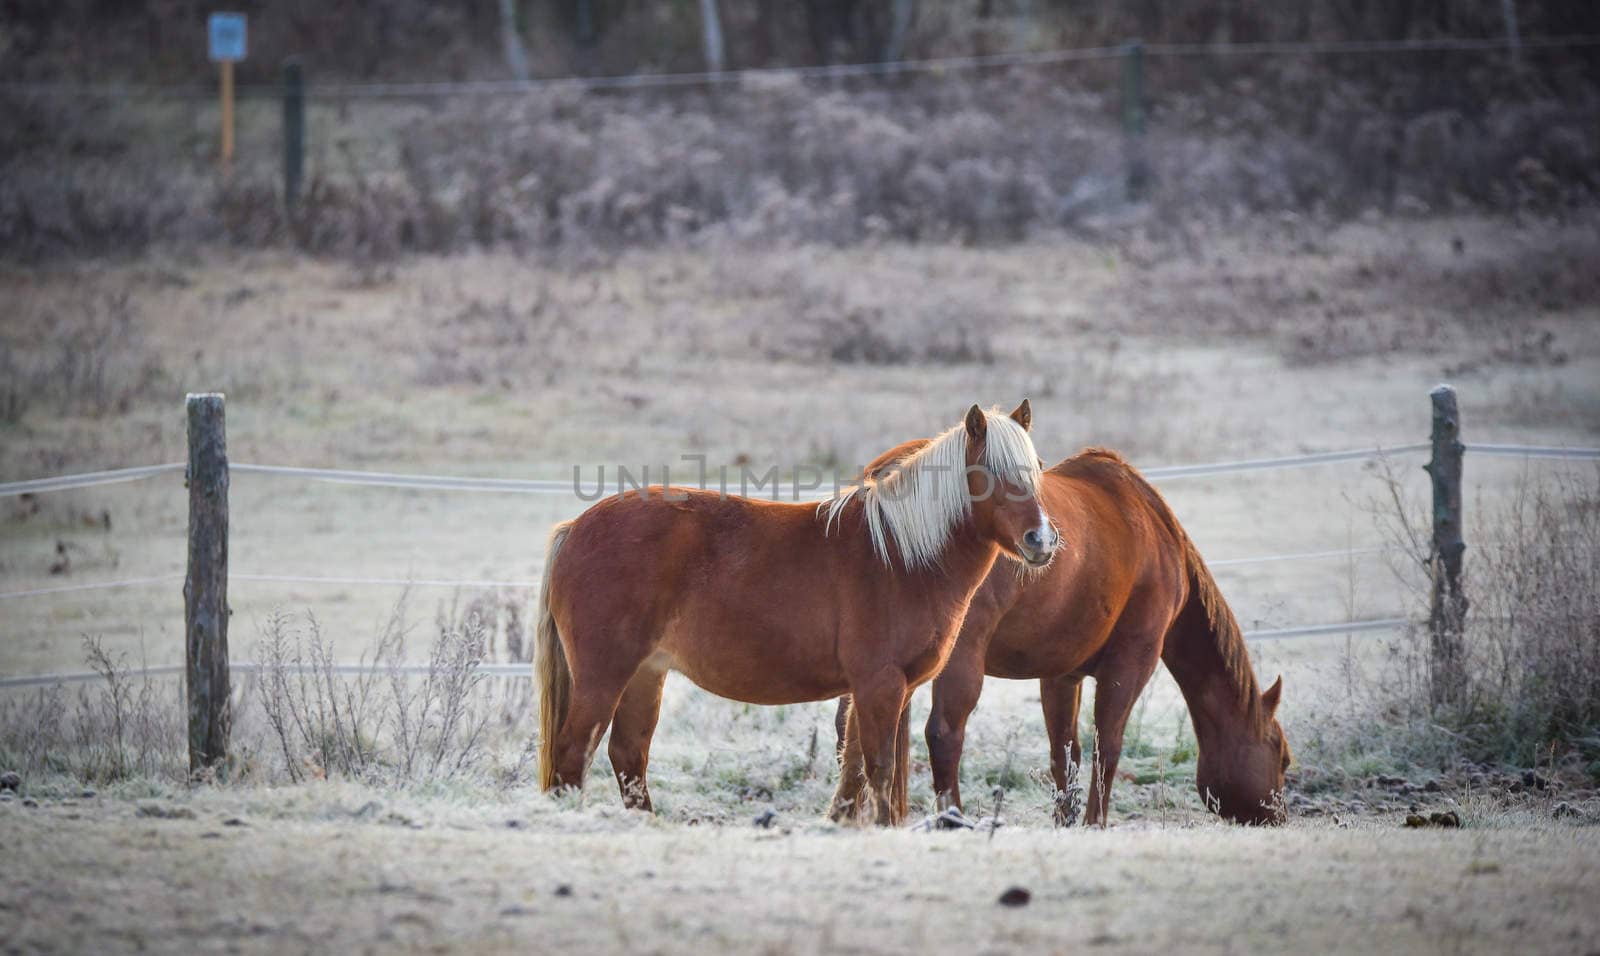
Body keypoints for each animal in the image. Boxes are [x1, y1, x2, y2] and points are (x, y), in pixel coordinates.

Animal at [537, 402, 1062, 824]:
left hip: (646, 674)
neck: (901, 558)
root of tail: (574, 527)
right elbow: (880, 770)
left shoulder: (878, 690)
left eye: (1037, 467)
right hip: (604, 675)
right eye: (989, 473)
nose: (1041, 539)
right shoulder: (880, 685)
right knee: (573, 754)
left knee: (628, 756)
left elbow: (854, 770)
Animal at [838, 444, 1286, 824]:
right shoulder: (1133, 661)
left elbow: (1065, 752)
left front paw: (1065, 820)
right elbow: (1108, 745)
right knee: (943, 735)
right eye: (1282, 756)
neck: (1155, 532)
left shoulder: (1061, 674)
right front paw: (1094, 823)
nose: (1279, 816)